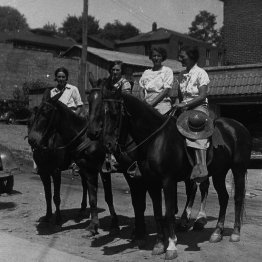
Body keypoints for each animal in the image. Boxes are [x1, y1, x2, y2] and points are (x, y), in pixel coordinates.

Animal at [88, 79, 252, 260]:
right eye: (94, 107)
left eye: (114, 113)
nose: (106, 144)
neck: (155, 139)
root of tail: (239, 127)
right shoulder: (151, 181)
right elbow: (157, 212)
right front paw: (159, 244)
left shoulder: (167, 181)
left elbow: (167, 213)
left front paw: (171, 246)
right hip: (218, 173)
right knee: (223, 197)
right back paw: (217, 232)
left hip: (238, 169)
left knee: (237, 198)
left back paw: (234, 233)